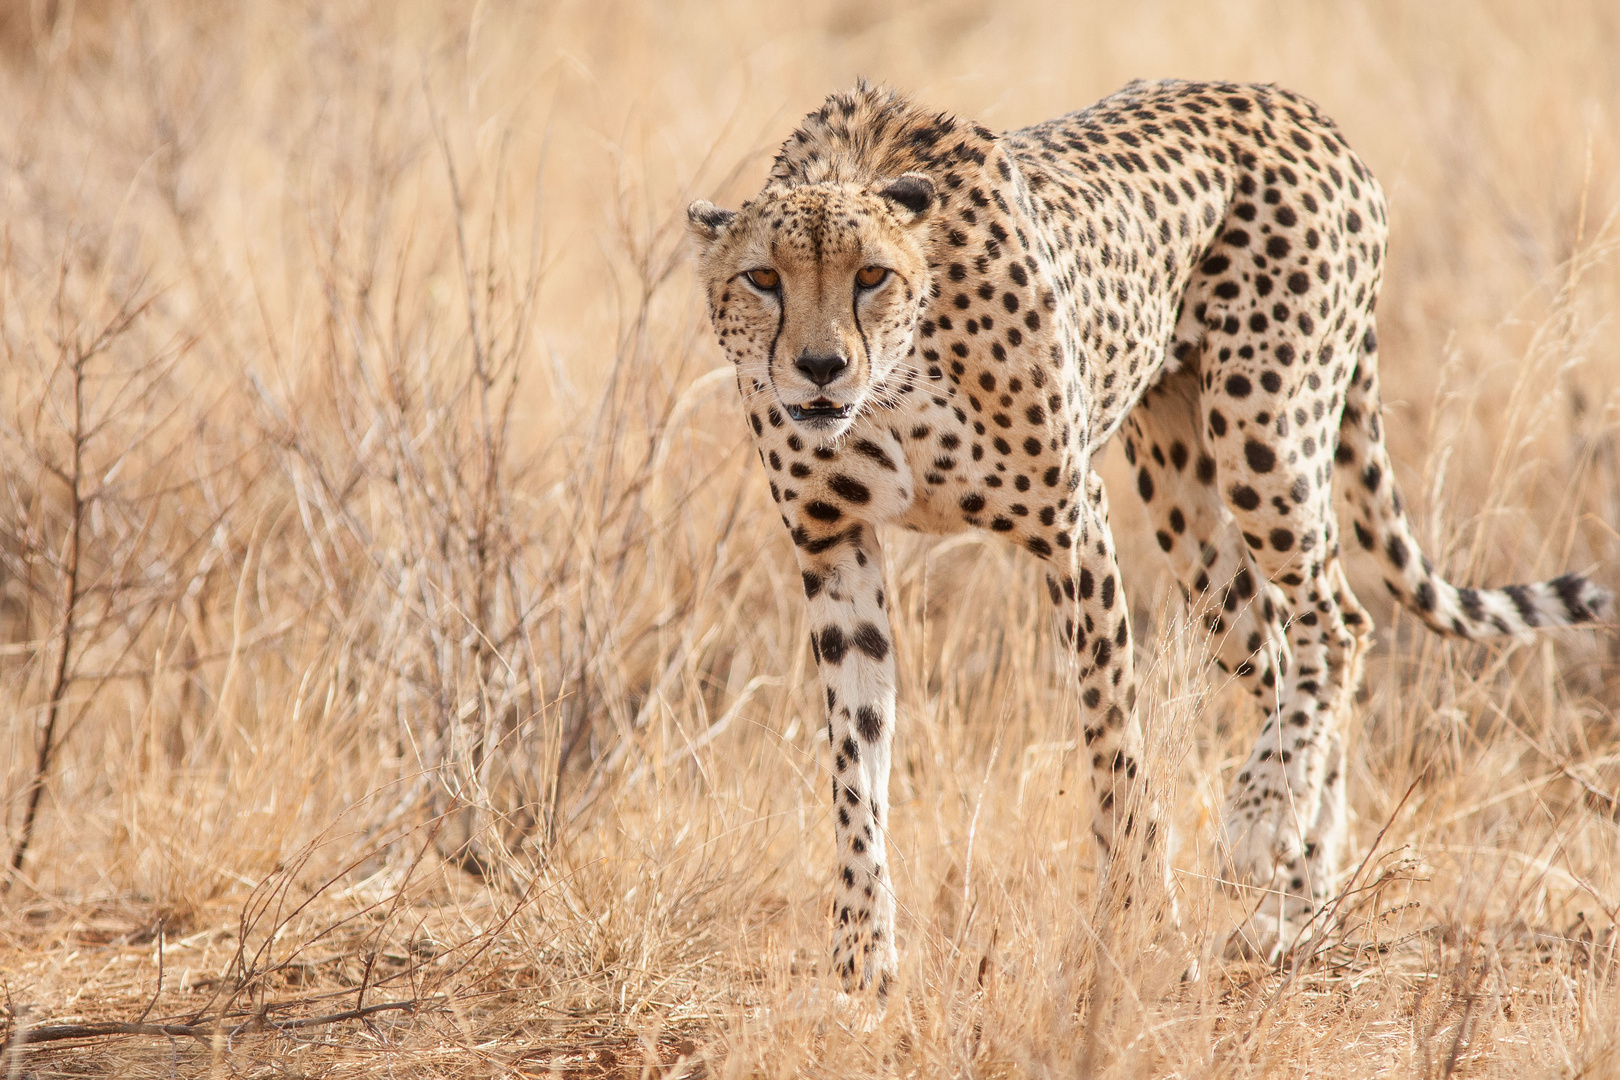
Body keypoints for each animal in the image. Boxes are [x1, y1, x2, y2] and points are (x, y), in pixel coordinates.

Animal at [683, 80, 1607, 990]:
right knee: (1280, 647)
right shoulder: (833, 546)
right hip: (1185, 507)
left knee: (1339, 623)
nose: (820, 368)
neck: (895, 381)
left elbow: (1114, 743)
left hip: (1265, 434)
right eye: (762, 278)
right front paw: (861, 953)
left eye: (871, 274)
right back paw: (1299, 901)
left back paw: (1258, 824)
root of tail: (1289, 101)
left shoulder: (1073, 521)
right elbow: (856, 759)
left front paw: (1143, 925)